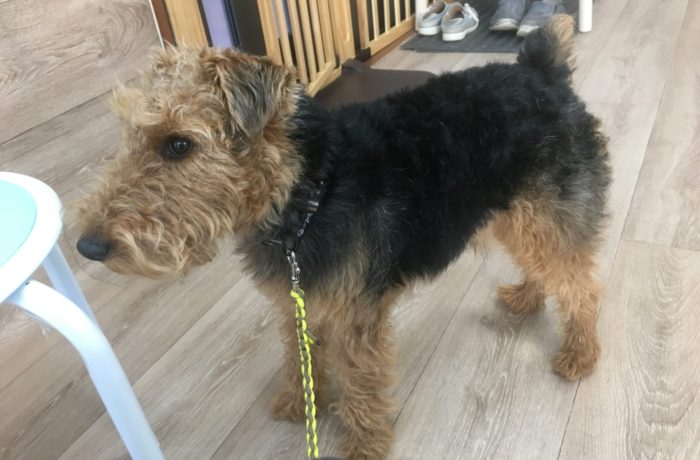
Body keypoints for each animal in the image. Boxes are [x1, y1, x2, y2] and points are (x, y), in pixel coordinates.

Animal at [75, 15, 610, 459]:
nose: (88, 246)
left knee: (582, 287)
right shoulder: (298, 297)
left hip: (547, 215)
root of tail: (543, 72)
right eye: (128, 135)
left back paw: (579, 355)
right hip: (524, 216)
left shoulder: (356, 319)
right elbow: (299, 354)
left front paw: (363, 445)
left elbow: (361, 386)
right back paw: (526, 297)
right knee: (549, 270)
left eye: (179, 144)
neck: (309, 192)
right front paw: (299, 402)